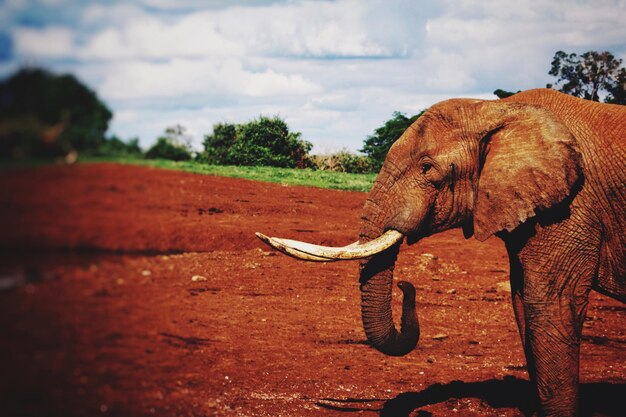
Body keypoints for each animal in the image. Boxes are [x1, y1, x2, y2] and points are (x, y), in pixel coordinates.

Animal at [255, 88, 624, 416]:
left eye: (427, 169)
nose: (405, 285)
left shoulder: (572, 206)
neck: (497, 109)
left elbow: (552, 303)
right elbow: (523, 302)